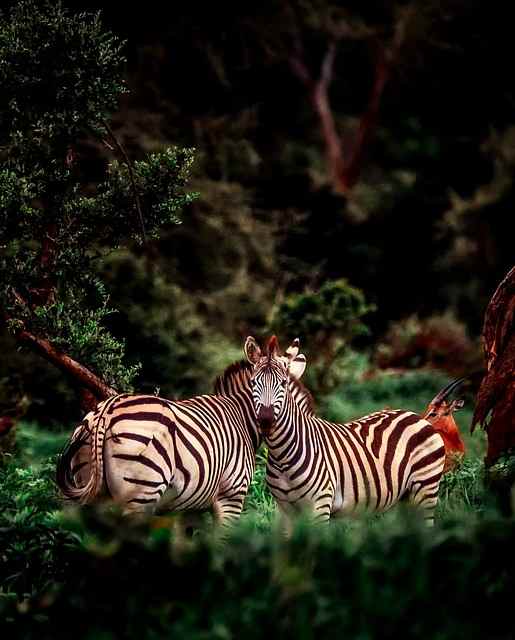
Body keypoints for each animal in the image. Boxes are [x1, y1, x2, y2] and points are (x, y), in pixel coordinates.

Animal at [58, 356, 312, 524]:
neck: (241, 417)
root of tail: (107, 409)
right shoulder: (232, 495)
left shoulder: (189, 506)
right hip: (141, 493)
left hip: (84, 489)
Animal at [245, 336, 448, 524]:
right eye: (253, 383)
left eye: (283, 383)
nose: (265, 420)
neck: (282, 456)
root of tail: (416, 416)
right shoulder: (285, 510)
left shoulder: (320, 505)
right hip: (404, 497)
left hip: (426, 488)